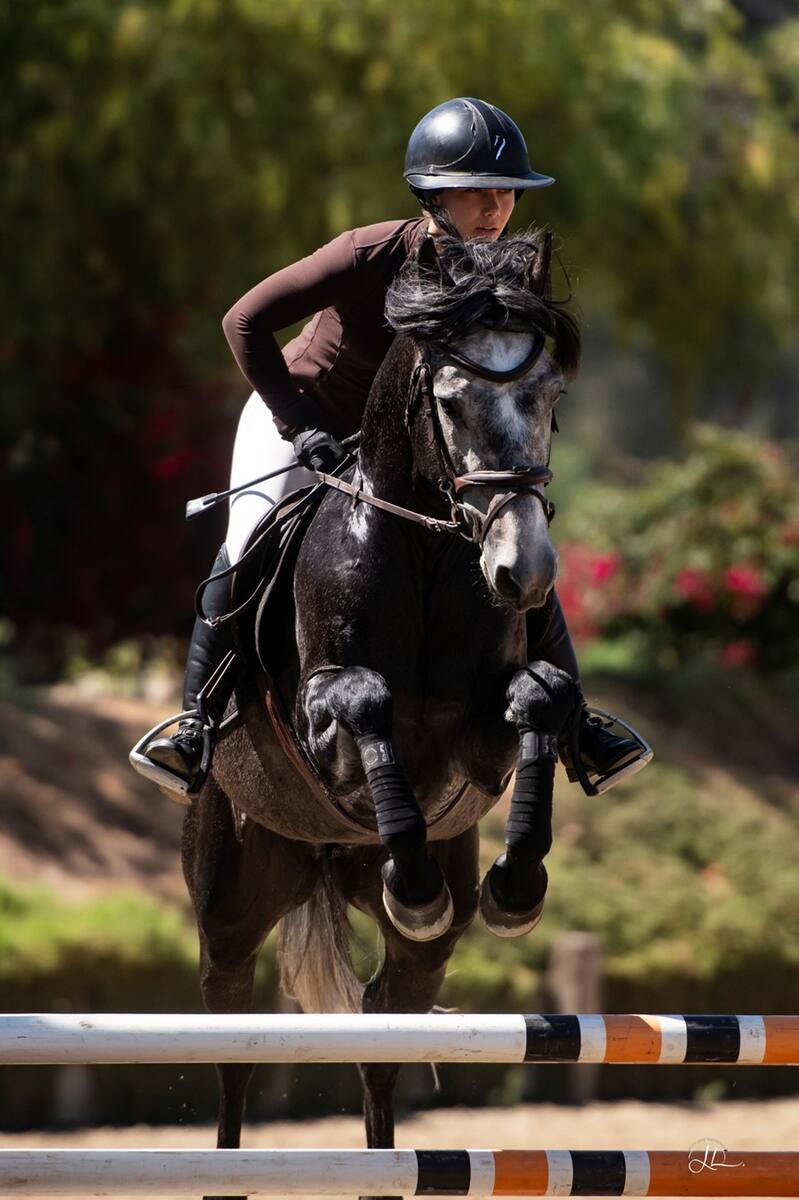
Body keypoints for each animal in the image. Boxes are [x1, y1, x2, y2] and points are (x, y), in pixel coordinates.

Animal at [180, 229, 581, 1200]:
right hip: (230, 904)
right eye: (451, 400)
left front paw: (514, 886)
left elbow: (536, 701)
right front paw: (417, 884)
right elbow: (365, 702)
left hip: (405, 957)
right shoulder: (321, 718)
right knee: (232, 1043)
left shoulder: (479, 738)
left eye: (550, 396)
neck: (430, 555)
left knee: (380, 1033)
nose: (524, 572)